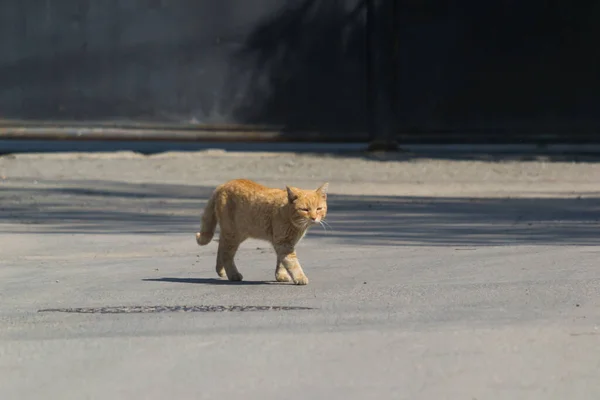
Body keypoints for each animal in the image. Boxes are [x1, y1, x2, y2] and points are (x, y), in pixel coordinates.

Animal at [195, 178, 328, 284]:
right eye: (305, 209)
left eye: (319, 209)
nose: (314, 218)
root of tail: (223, 185)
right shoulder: (283, 243)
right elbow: (292, 262)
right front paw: (300, 277)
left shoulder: (285, 243)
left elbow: (281, 262)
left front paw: (281, 275)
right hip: (233, 235)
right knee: (226, 254)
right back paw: (233, 275)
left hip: (235, 234)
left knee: (221, 248)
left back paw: (220, 270)